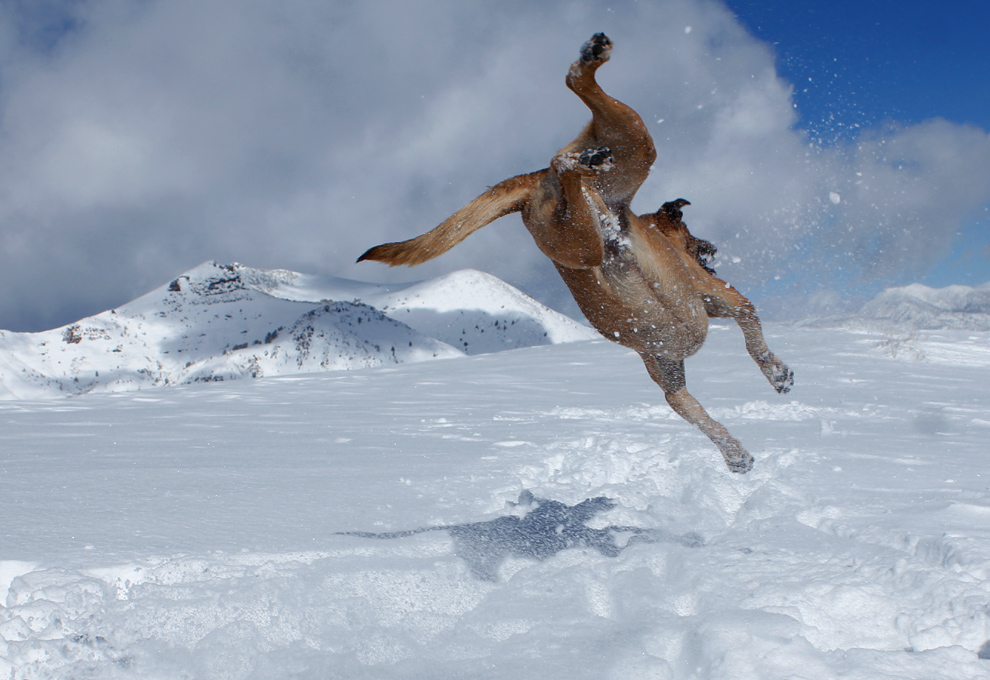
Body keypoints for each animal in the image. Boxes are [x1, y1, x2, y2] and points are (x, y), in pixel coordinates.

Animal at [360, 33, 796, 472]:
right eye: (690, 234)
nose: (712, 247)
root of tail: (533, 179)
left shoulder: (667, 371)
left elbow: (695, 412)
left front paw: (734, 452)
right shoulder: (718, 293)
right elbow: (751, 326)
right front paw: (777, 373)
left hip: (576, 234)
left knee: (566, 163)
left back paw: (587, 161)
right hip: (637, 148)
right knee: (574, 103)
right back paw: (590, 76)